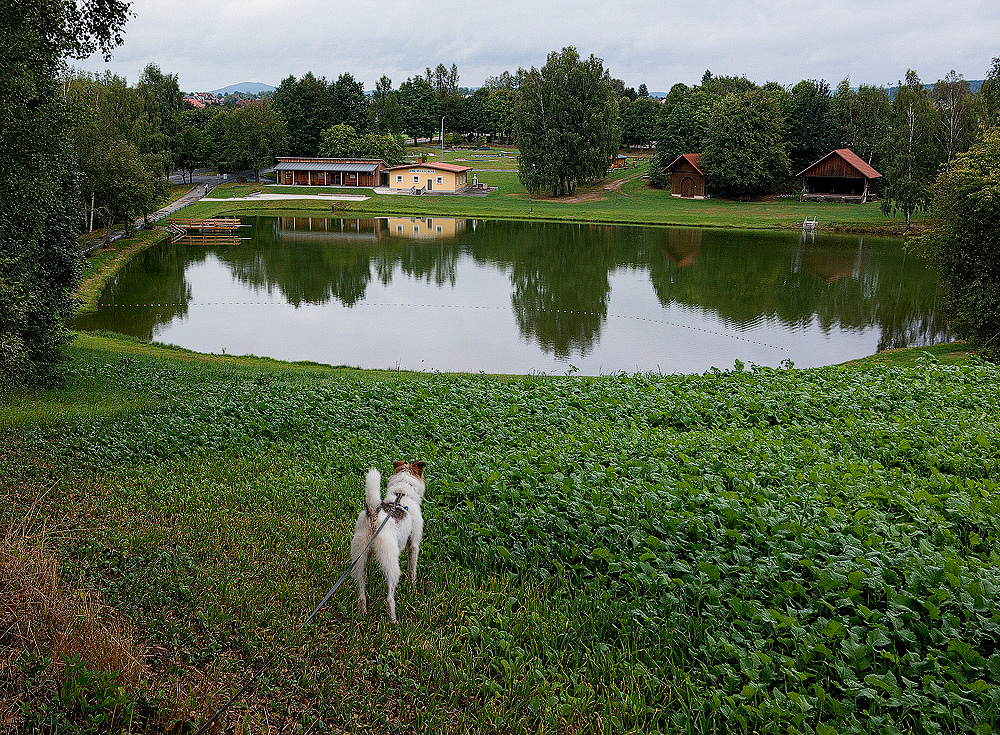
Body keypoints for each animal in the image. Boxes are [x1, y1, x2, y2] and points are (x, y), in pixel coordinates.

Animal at [352, 462, 426, 624]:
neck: (401, 493)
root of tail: (373, 517)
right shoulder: (414, 545)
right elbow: (412, 569)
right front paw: (413, 586)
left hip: (360, 560)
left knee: (361, 595)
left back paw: (362, 615)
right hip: (391, 564)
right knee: (389, 598)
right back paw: (393, 621)